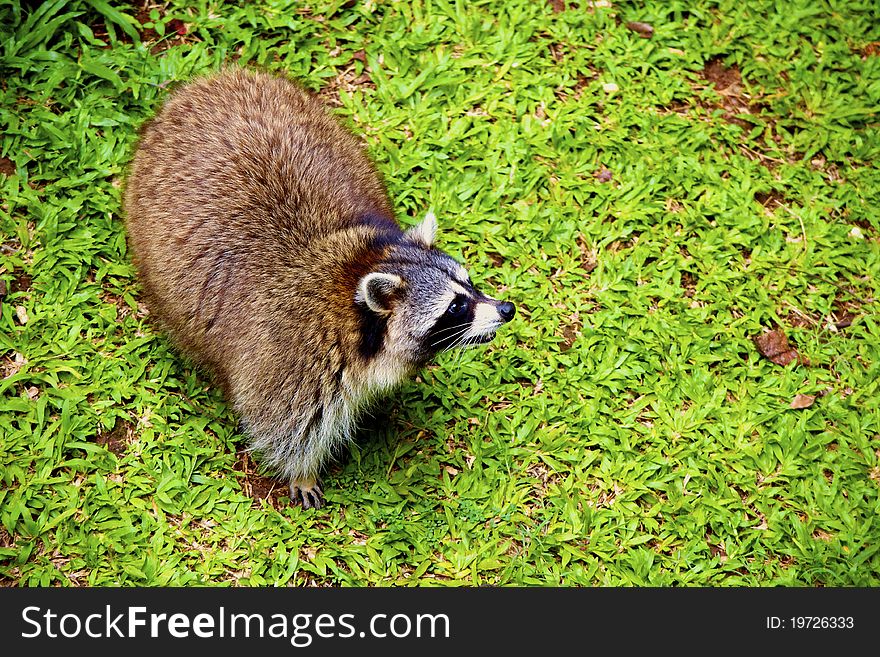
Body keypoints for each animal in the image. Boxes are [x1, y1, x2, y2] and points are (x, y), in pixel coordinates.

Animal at [120, 68, 512, 508]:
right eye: (456, 307)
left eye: (469, 284)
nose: (506, 309)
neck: (356, 270)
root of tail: (209, 82)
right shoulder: (294, 358)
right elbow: (281, 424)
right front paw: (302, 471)